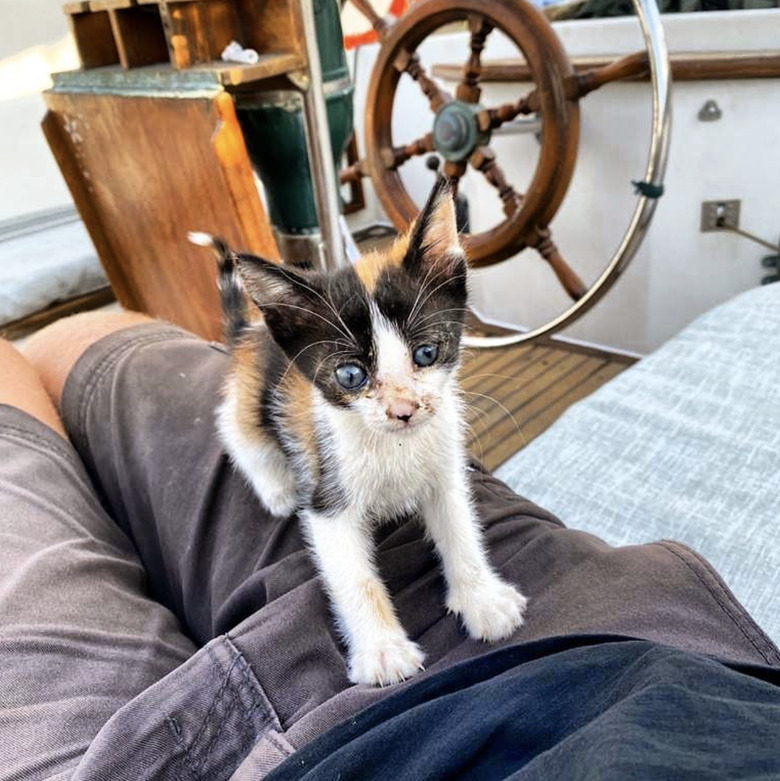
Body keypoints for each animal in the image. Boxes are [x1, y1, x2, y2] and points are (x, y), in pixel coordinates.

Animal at [192, 181, 528, 684]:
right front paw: (383, 651)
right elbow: (354, 576)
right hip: (251, 404)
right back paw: (275, 486)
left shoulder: (445, 470)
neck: (394, 445)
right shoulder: (326, 492)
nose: (403, 410)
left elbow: (460, 529)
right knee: (235, 430)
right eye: (351, 375)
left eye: (426, 353)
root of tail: (251, 331)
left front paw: (482, 598)